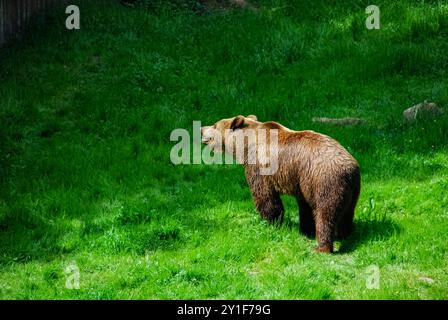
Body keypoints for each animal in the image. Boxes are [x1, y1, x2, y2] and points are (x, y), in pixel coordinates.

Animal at [201, 115, 362, 252]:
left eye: (215, 125)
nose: (202, 128)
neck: (245, 147)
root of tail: (349, 169)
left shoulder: (261, 168)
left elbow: (265, 197)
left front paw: (271, 222)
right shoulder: (301, 181)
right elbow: (304, 206)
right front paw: (305, 229)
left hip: (325, 181)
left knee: (325, 213)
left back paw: (322, 247)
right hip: (351, 189)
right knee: (347, 213)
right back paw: (344, 234)